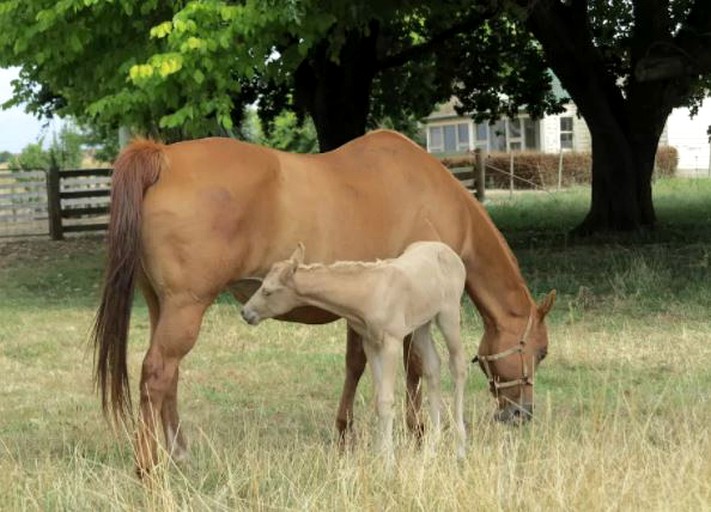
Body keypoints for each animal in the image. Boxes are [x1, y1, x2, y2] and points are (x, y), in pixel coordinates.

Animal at [242, 240, 470, 460]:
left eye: (268, 291)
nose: (245, 312)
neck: (369, 292)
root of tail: (450, 253)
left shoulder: (392, 342)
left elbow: (386, 399)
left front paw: (388, 461)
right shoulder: (371, 342)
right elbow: (379, 400)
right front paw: (379, 454)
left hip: (448, 315)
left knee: (457, 366)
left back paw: (460, 448)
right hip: (422, 325)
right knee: (433, 367)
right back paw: (431, 449)